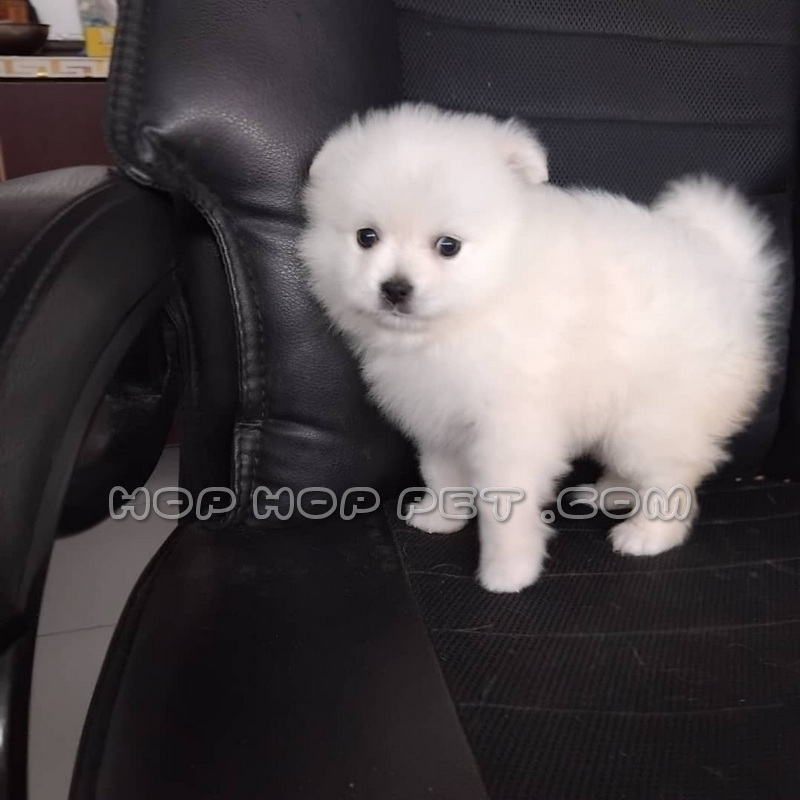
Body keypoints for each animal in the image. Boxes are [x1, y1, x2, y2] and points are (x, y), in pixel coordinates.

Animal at [300, 103, 779, 593]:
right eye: (367, 237)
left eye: (448, 246)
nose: (395, 288)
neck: (479, 306)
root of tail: (730, 276)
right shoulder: (438, 415)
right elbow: (441, 473)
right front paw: (441, 516)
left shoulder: (512, 431)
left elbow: (505, 506)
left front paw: (508, 572)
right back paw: (608, 492)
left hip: (656, 417)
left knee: (672, 476)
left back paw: (648, 533)